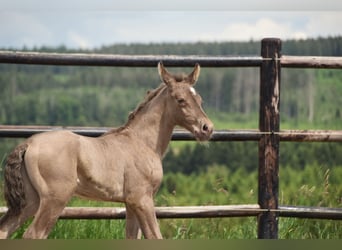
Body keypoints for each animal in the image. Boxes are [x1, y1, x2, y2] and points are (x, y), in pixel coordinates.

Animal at [0, 62, 214, 238]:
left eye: (200, 99)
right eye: (180, 100)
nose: (207, 128)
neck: (142, 142)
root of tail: (28, 144)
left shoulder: (131, 203)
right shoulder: (142, 199)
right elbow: (155, 236)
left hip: (31, 201)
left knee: (4, 230)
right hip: (54, 199)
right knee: (33, 234)